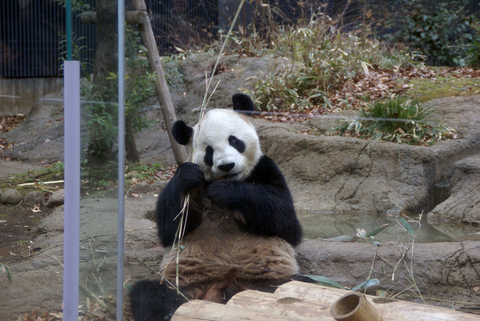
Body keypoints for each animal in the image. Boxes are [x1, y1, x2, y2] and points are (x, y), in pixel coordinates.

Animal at [129, 93, 302, 320]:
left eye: (234, 141)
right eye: (209, 151)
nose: (227, 165)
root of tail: (219, 289)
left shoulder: (265, 168)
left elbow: (286, 221)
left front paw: (225, 191)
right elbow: (171, 229)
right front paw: (188, 177)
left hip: (267, 280)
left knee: (294, 286)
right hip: (184, 284)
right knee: (150, 294)